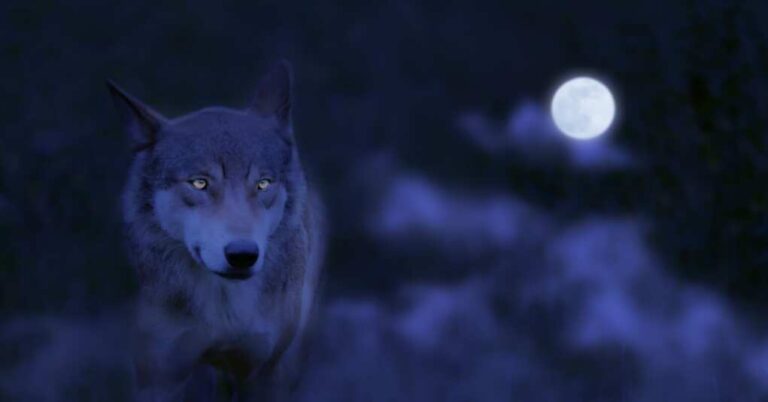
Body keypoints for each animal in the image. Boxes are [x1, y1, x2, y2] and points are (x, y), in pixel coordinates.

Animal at [108, 61, 325, 401]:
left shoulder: (263, 375)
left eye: (263, 183)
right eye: (200, 183)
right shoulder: (158, 378)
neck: (224, 310)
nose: (242, 255)